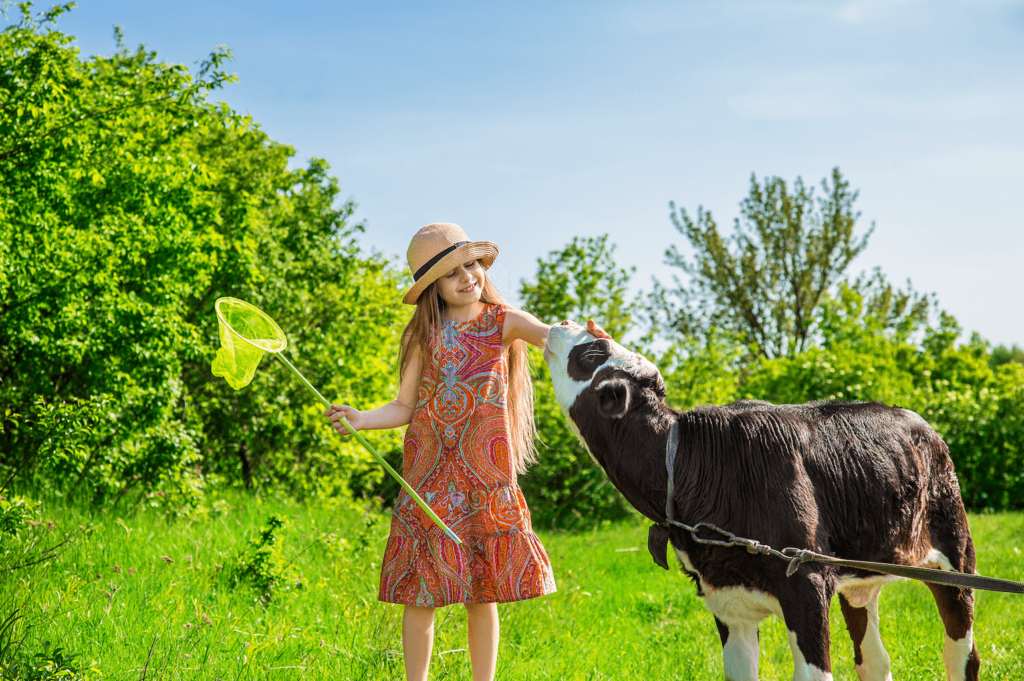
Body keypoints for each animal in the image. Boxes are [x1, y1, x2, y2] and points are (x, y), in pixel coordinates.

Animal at [544, 319, 983, 679]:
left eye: (593, 350)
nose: (561, 322)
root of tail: (919, 421)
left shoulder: (807, 581)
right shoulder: (725, 598)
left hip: (954, 554)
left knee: (962, 654)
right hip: (861, 571)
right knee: (874, 661)